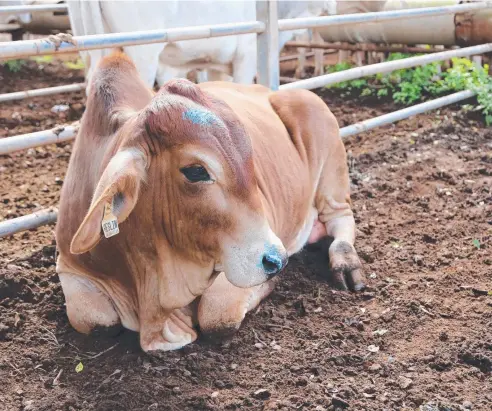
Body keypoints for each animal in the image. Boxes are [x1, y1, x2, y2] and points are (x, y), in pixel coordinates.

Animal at [55, 51, 364, 352]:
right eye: (196, 171)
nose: (277, 260)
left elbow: (217, 317)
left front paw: (273, 282)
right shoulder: (69, 267)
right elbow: (94, 322)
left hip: (326, 146)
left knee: (340, 217)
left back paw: (345, 262)